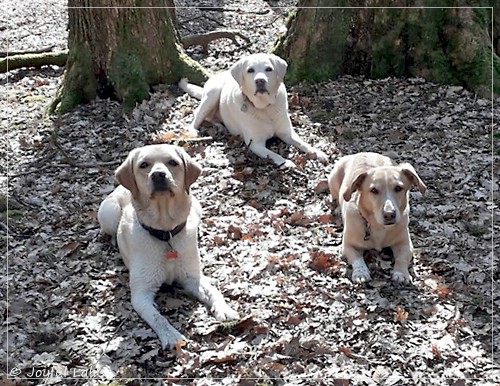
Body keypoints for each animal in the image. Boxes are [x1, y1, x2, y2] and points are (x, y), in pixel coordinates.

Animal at [98, 143, 240, 348]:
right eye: (143, 165)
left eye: (173, 162)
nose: (158, 175)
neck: (166, 234)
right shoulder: (141, 293)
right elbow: (159, 318)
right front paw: (172, 336)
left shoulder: (192, 277)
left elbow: (213, 291)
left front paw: (225, 309)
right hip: (108, 214)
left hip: (197, 208)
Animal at [180, 52, 328, 167]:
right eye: (250, 70)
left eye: (268, 69)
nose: (260, 81)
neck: (265, 107)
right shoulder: (255, 144)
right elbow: (273, 154)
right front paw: (287, 162)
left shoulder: (288, 133)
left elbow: (302, 143)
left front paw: (318, 152)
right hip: (213, 94)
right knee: (198, 114)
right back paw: (193, 130)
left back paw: (220, 126)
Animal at [328, 152, 426, 284]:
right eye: (373, 190)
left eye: (398, 188)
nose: (389, 214)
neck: (378, 226)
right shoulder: (348, 246)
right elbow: (357, 258)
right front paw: (361, 273)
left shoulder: (405, 244)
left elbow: (402, 258)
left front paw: (401, 273)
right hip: (333, 179)